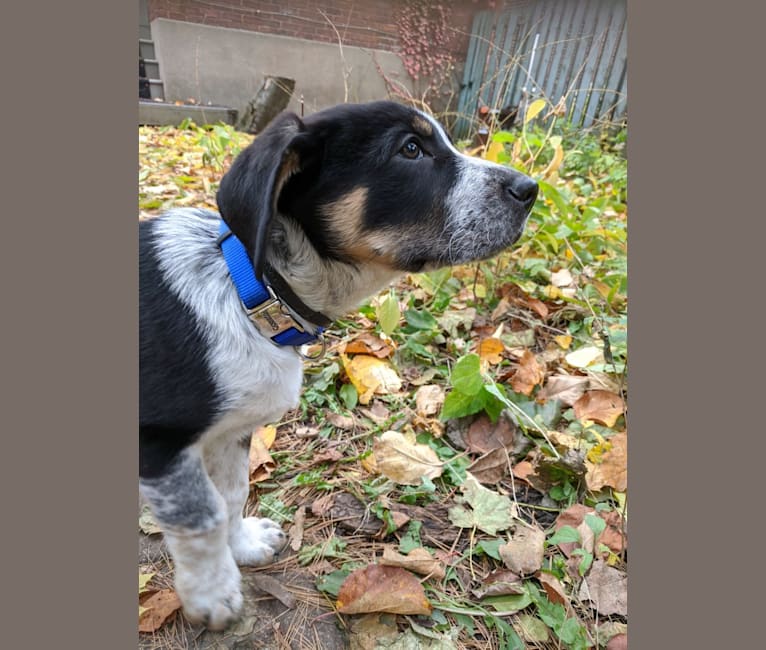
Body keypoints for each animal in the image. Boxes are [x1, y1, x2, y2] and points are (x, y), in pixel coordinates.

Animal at [142, 101, 540, 628]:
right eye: (410, 149)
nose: (531, 189)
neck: (251, 291)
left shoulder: (231, 430)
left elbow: (232, 493)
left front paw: (243, 546)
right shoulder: (160, 441)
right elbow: (203, 515)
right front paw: (213, 594)